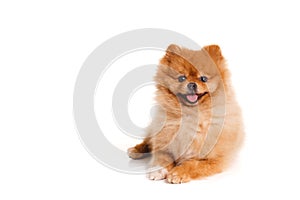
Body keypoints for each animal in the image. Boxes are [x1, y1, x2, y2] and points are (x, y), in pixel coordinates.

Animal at [127, 44, 244, 184]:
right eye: (181, 78)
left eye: (203, 78)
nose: (192, 84)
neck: (190, 115)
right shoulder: (165, 146)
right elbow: (161, 158)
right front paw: (158, 170)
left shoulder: (214, 159)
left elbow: (193, 164)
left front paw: (178, 173)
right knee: (148, 140)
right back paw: (136, 150)